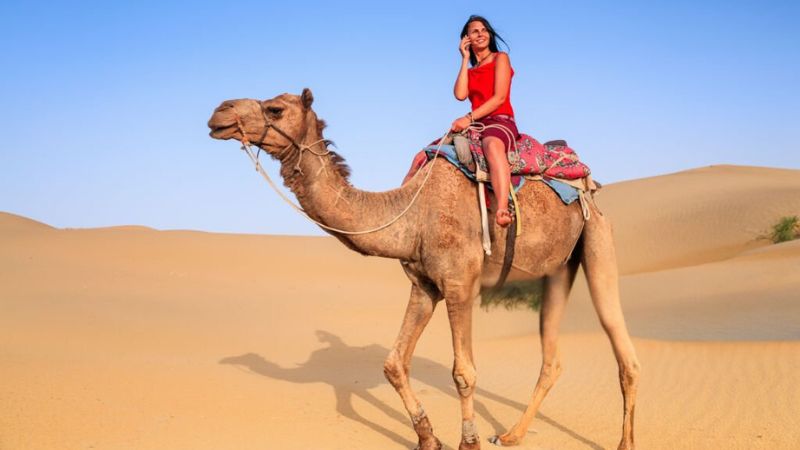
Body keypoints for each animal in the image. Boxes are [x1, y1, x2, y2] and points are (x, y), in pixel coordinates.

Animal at [208, 89, 644, 450]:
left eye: (275, 109)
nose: (219, 112)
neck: (411, 214)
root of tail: (588, 181)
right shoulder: (423, 286)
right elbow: (394, 364)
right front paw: (428, 437)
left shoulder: (460, 283)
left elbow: (464, 372)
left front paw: (468, 442)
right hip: (558, 270)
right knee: (551, 360)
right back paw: (510, 435)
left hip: (597, 237)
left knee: (623, 349)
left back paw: (623, 443)